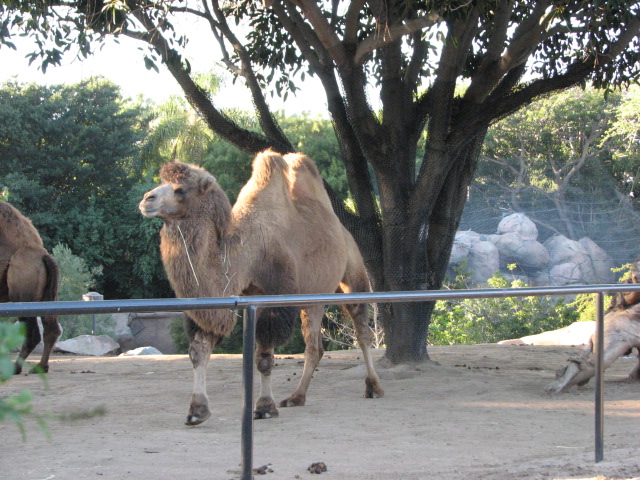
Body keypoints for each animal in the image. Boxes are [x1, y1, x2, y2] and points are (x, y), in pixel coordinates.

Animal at [1, 201, 61, 374]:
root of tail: (43, 255)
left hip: (21, 293)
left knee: (32, 334)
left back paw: (16, 368)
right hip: (47, 296)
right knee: (51, 328)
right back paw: (41, 366)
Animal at [139, 149, 384, 426]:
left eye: (181, 189)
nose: (147, 199)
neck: (245, 254)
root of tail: (343, 230)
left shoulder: (274, 297)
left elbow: (264, 358)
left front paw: (265, 406)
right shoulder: (226, 299)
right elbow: (198, 350)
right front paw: (197, 411)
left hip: (353, 272)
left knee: (362, 330)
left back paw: (373, 387)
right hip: (312, 298)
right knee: (314, 345)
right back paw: (297, 397)